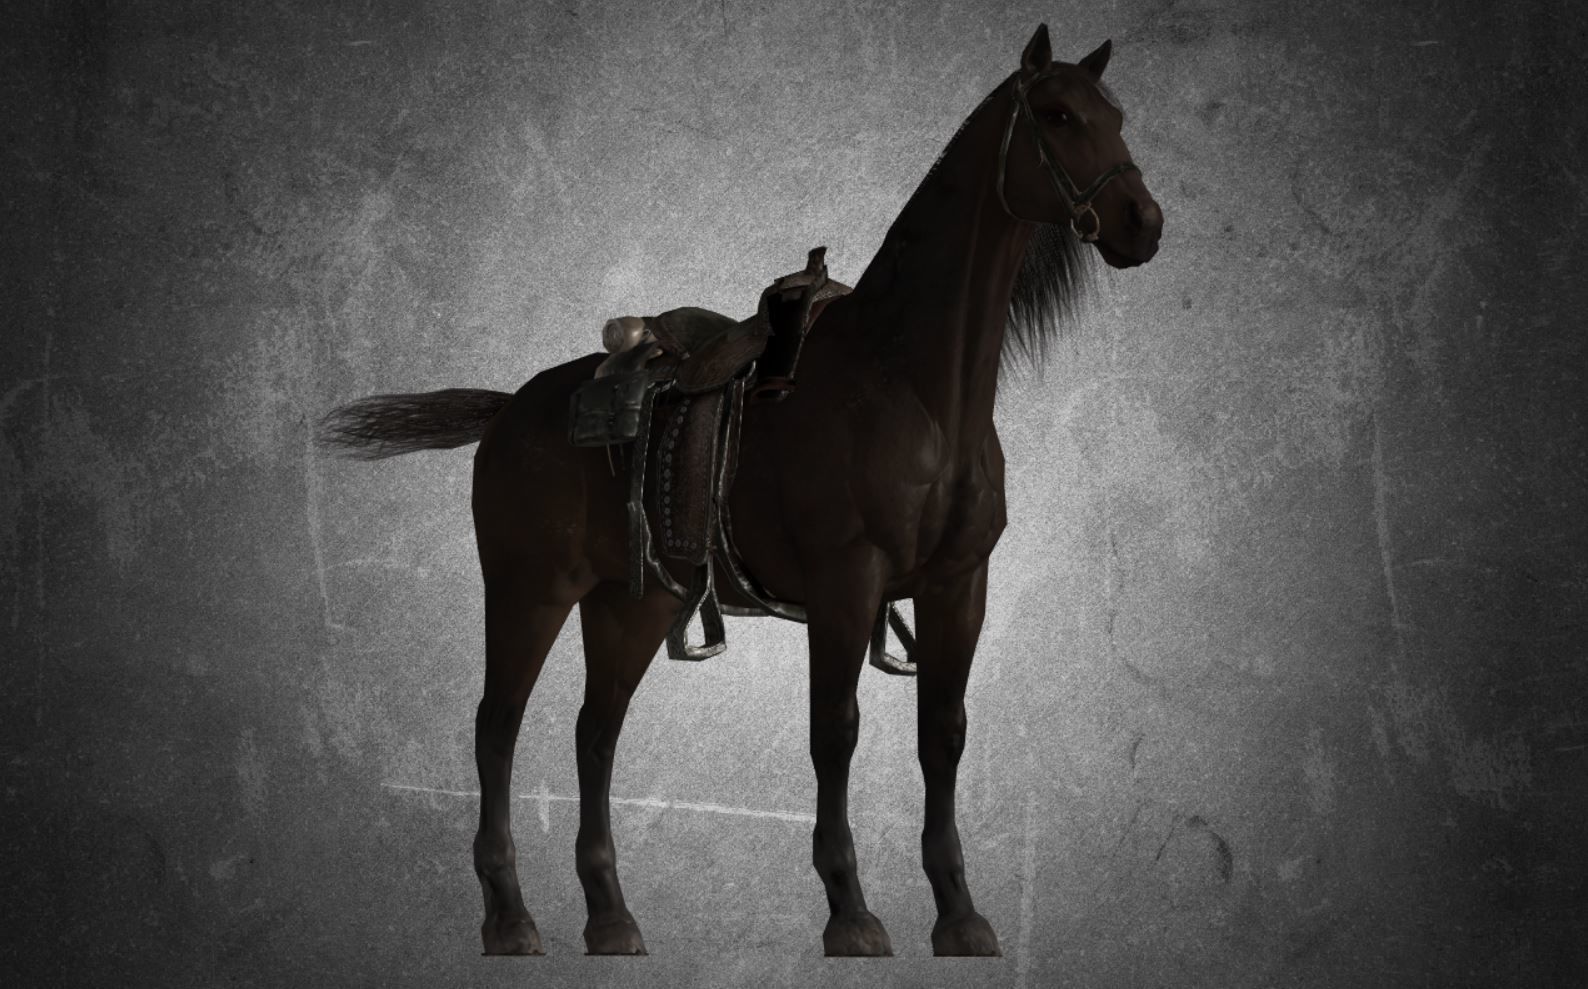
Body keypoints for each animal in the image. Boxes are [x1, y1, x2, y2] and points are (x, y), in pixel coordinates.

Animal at [320, 23, 1162, 958]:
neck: (908, 381)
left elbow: (941, 734)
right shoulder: (845, 583)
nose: (1143, 222)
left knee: (593, 733)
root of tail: (512, 409)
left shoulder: (958, 583)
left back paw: (611, 917)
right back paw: (508, 916)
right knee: (496, 726)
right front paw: (850, 911)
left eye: (1117, 117)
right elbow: (836, 731)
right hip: (527, 590)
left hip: (630, 604)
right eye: (1057, 115)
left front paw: (960, 914)